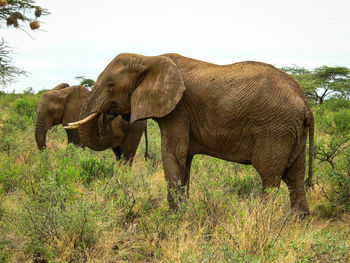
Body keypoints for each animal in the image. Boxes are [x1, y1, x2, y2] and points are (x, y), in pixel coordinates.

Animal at [66, 53, 314, 214]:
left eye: (110, 85)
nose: (107, 115)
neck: (149, 58)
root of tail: (305, 102)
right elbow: (184, 158)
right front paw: (183, 212)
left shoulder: (178, 110)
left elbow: (172, 154)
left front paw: (173, 217)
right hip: (291, 131)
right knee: (295, 176)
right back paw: (297, 220)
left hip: (275, 129)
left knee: (270, 177)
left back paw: (263, 219)